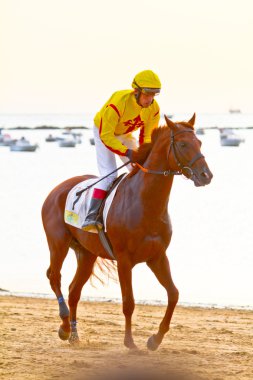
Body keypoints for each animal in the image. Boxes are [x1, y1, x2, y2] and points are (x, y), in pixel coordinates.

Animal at [42, 114, 212, 352]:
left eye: (200, 142)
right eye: (183, 144)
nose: (206, 175)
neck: (145, 203)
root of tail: (56, 189)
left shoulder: (157, 257)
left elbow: (173, 294)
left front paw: (155, 339)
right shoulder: (124, 260)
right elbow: (128, 302)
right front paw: (130, 342)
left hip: (87, 253)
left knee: (74, 290)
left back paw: (74, 334)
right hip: (58, 243)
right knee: (54, 277)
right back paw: (65, 326)